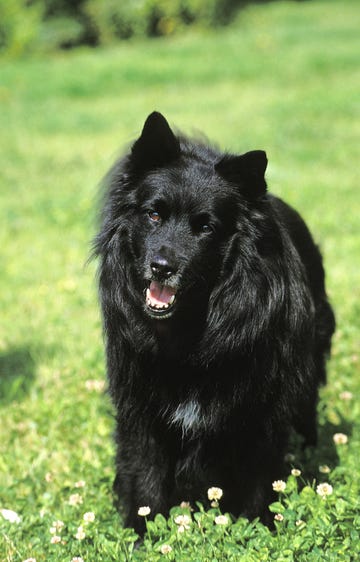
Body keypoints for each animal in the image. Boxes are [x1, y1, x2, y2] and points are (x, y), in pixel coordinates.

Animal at [94, 110, 336, 528]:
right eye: (153, 214)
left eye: (206, 227)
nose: (161, 267)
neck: (192, 329)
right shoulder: (141, 411)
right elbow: (145, 481)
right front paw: (142, 534)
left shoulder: (261, 412)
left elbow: (259, 481)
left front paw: (258, 530)